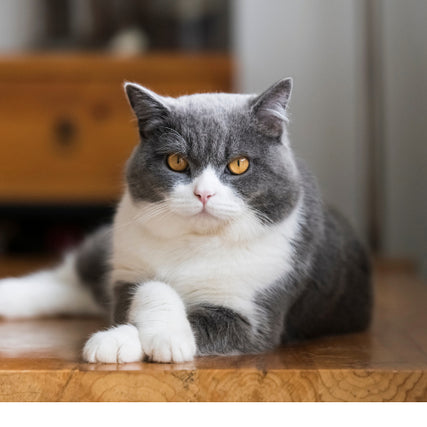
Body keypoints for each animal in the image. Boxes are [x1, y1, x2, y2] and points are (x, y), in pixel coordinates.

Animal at [0, 77, 372, 364]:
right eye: (177, 161)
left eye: (239, 164)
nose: (203, 193)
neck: (195, 243)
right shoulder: (127, 269)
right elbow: (149, 287)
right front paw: (120, 338)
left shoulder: (256, 314)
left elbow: (208, 321)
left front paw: (154, 341)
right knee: (67, 277)